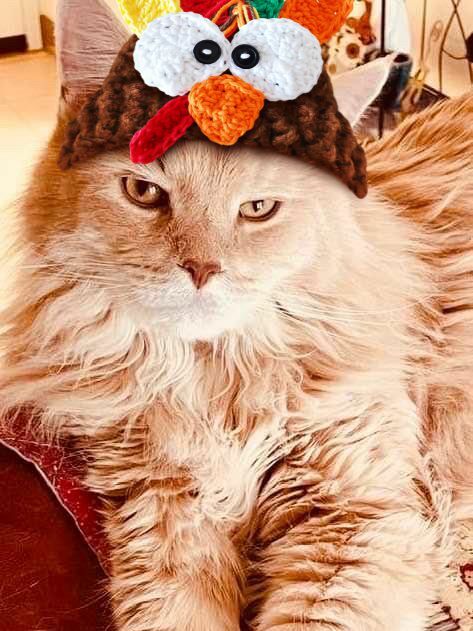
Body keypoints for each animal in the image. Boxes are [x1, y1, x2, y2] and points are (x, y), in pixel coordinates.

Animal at [1, 0, 473, 630]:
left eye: (258, 209)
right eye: (143, 193)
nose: (202, 269)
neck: (210, 384)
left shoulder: (356, 516)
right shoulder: (165, 512)